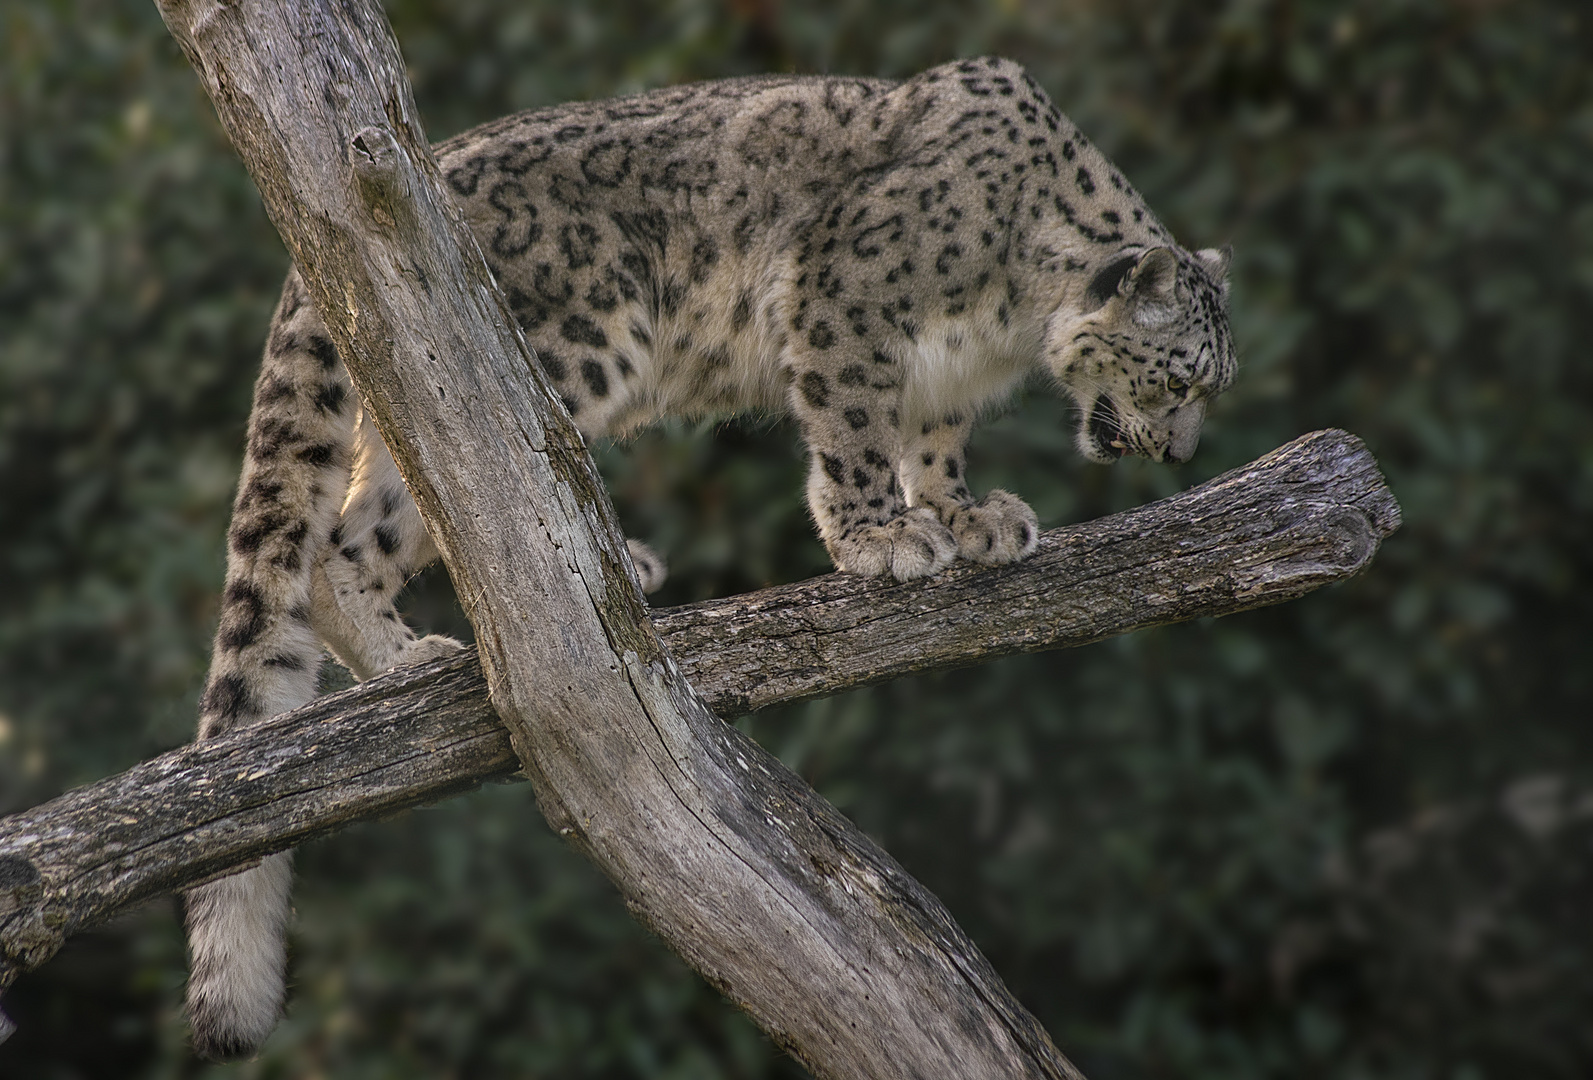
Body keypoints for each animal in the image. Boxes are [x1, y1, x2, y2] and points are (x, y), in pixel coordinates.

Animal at [183, 54, 1229, 1064]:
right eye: (1181, 377)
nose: (1182, 453)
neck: (1010, 321)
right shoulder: (847, 302)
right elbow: (855, 427)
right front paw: (880, 537)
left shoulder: (945, 386)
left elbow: (932, 445)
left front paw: (969, 518)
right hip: (557, 349)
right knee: (404, 509)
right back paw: (486, 620)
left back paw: (431, 647)